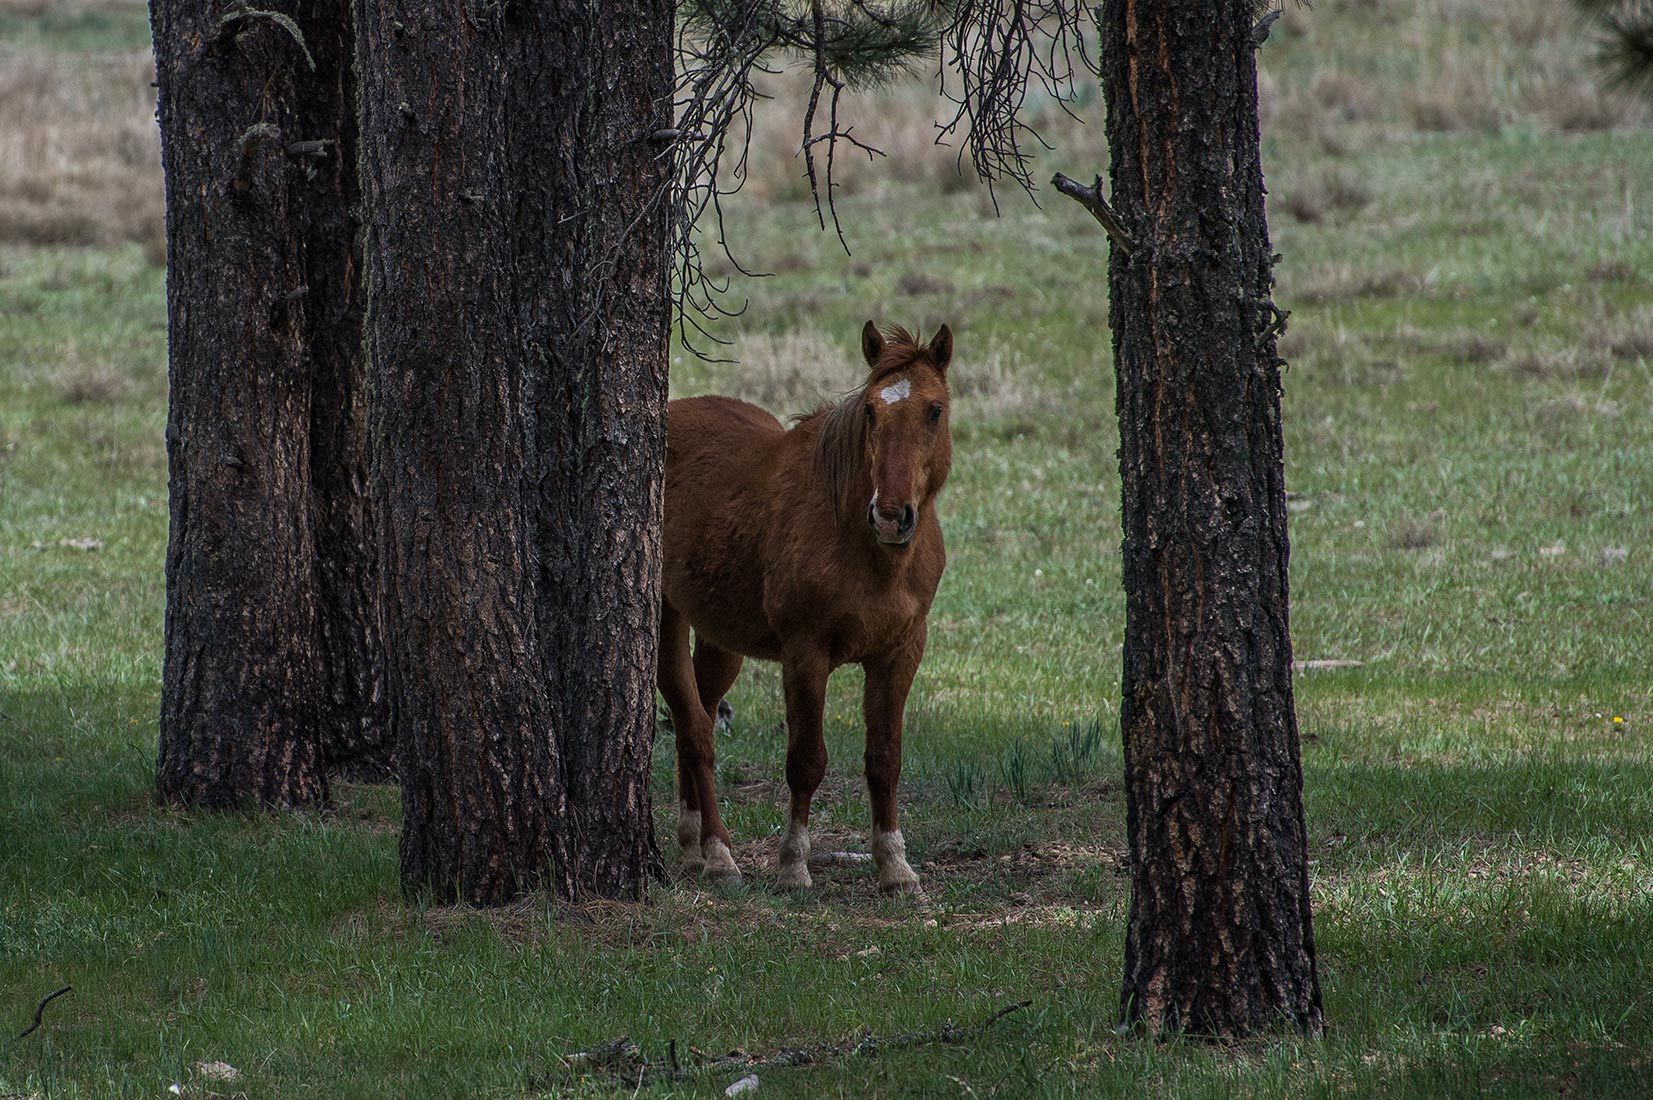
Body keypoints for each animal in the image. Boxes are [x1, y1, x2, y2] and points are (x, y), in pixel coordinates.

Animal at [658, 321, 954, 893]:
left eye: (935, 410)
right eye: (871, 411)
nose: (891, 516)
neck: (863, 547)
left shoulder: (901, 652)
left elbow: (885, 759)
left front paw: (895, 867)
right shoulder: (805, 653)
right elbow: (806, 761)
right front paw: (793, 864)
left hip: (720, 638)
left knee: (696, 718)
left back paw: (691, 844)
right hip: (665, 615)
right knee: (695, 728)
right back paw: (718, 852)